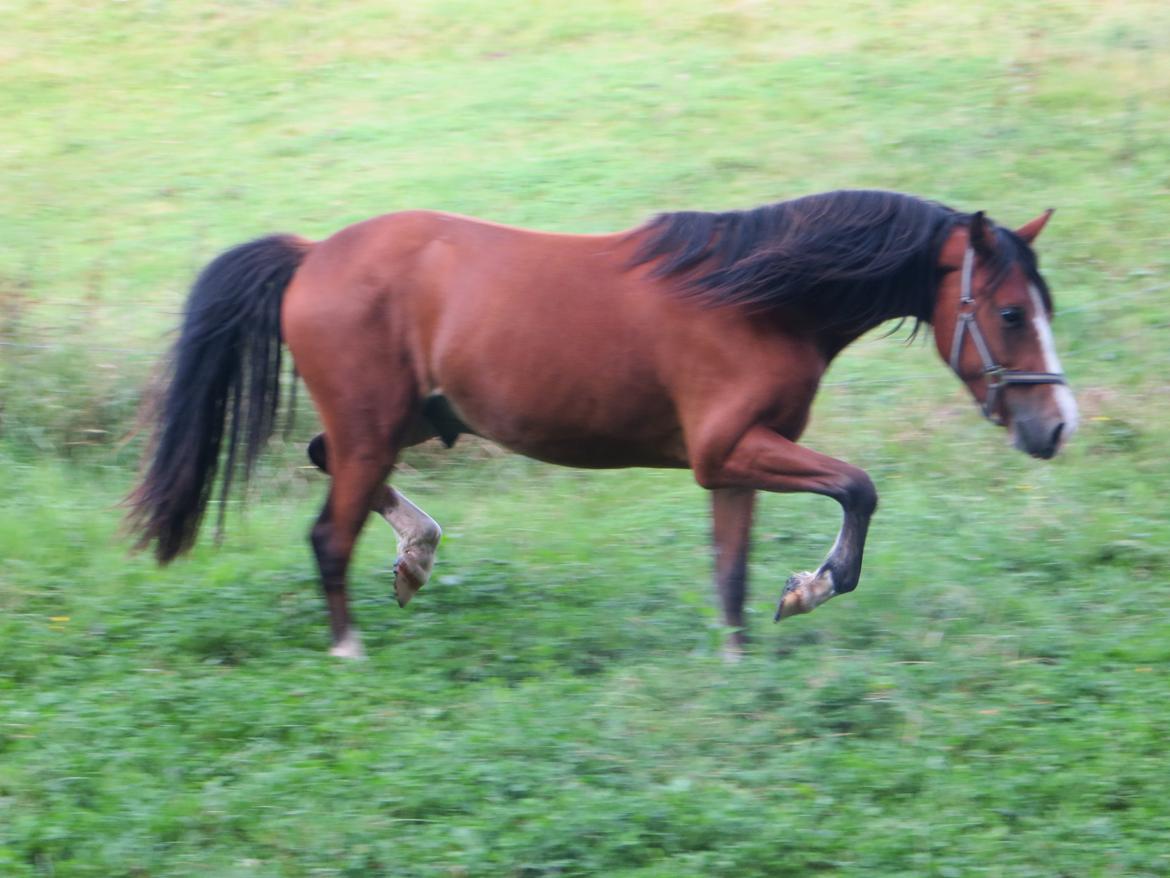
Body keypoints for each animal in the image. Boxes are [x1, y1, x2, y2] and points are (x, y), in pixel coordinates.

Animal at [128, 189, 1078, 659]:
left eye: (1043, 306)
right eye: (1008, 313)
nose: (1056, 428)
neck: (759, 298)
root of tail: (312, 254)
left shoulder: (734, 462)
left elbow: (731, 571)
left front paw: (742, 658)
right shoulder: (729, 450)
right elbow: (859, 489)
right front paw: (813, 587)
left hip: (399, 421)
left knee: (328, 463)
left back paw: (417, 556)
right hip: (374, 425)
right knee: (328, 535)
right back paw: (352, 648)